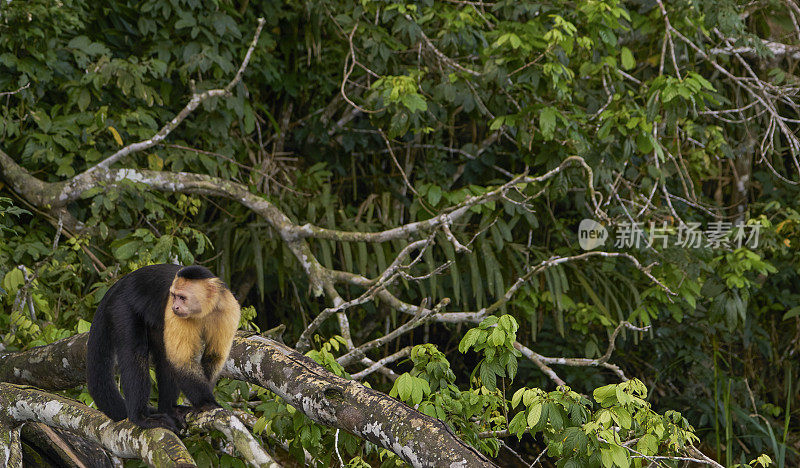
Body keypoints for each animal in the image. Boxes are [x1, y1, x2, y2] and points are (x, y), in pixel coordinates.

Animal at [86, 264, 241, 432]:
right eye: (174, 295)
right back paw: (141, 417)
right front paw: (206, 403)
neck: (204, 311)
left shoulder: (229, 308)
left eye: (182, 297)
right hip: (121, 307)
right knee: (134, 354)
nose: (175, 306)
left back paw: (169, 409)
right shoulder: (172, 313)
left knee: (163, 357)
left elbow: (214, 356)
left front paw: (199, 404)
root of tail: (119, 283)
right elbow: (181, 361)